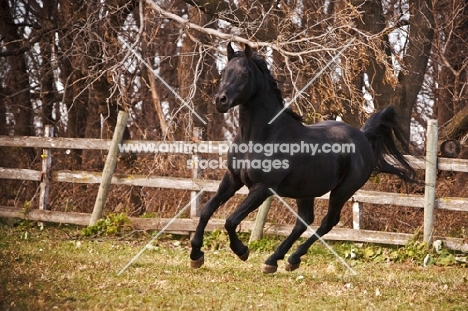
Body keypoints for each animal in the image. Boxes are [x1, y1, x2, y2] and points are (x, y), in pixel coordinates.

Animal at [188, 43, 414, 272]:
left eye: (244, 74)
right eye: (224, 72)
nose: (220, 101)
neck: (260, 137)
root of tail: (363, 137)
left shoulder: (262, 188)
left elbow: (231, 220)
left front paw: (242, 251)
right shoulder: (233, 178)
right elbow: (206, 211)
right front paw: (196, 255)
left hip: (342, 192)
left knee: (327, 222)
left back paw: (288, 259)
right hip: (306, 190)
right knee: (304, 221)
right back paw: (276, 261)